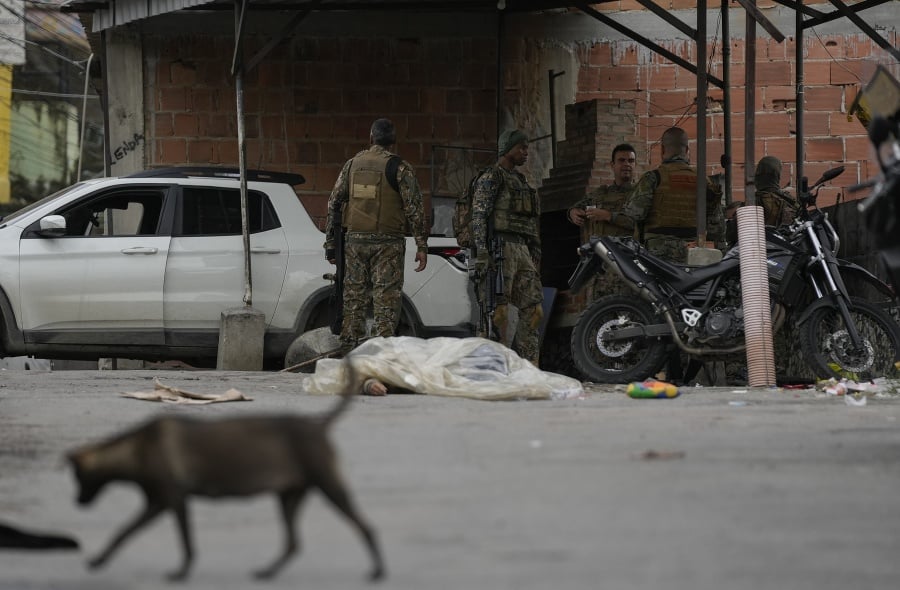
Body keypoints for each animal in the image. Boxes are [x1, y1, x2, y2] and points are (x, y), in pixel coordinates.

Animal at [66, 390, 384, 584]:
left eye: (78, 477)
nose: (78, 502)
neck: (134, 448)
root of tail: (317, 426)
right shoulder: (157, 501)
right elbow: (123, 532)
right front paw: (98, 560)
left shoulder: (173, 498)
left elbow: (184, 540)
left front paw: (181, 572)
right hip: (289, 494)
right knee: (293, 543)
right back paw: (267, 572)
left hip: (327, 484)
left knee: (365, 527)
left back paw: (377, 571)